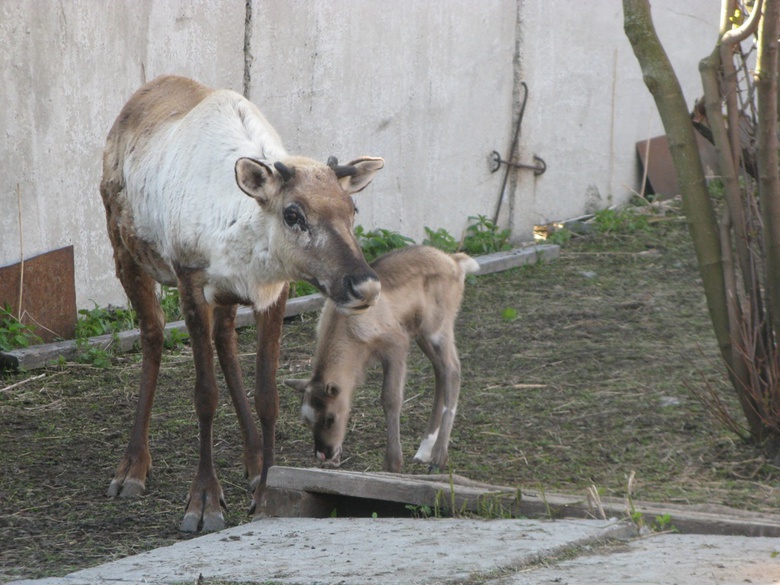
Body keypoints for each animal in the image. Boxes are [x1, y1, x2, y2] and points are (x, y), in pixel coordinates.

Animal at [286, 244, 482, 472]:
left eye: (330, 418)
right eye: (306, 421)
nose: (324, 453)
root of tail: (455, 262)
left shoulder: (396, 344)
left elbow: (390, 398)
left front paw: (393, 462)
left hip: (437, 328)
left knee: (452, 370)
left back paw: (438, 457)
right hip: (422, 334)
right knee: (440, 371)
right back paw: (424, 450)